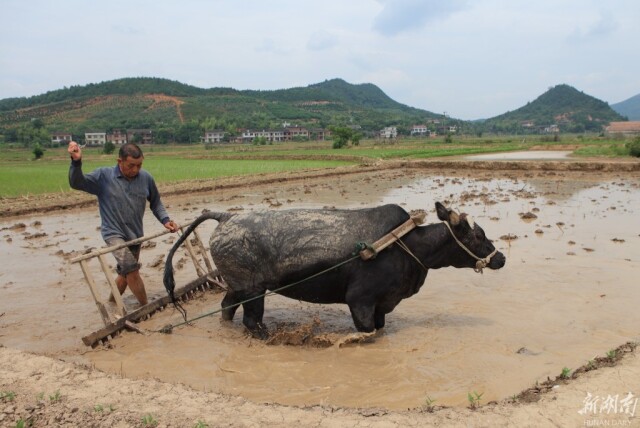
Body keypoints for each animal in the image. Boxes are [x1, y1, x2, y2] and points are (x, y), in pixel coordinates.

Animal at [165, 202, 504, 340]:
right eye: (477, 235)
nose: (500, 258)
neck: (406, 244)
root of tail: (226, 217)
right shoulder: (361, 301)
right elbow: (366, 331)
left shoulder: (381, 306)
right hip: (252, 290)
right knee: (251, 320)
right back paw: (268, 337)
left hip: (238, 287)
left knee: (227, 308)